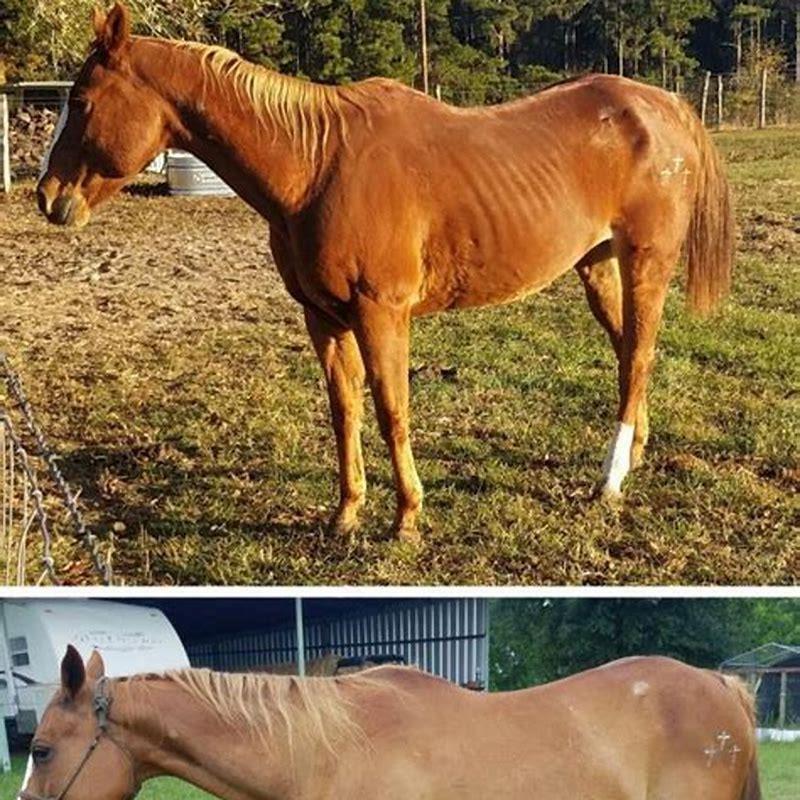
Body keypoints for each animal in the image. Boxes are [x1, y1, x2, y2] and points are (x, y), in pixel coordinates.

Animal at [37, 3, 734, 541]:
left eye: (82, 101)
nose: (47, 198)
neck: (316, 167)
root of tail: (663, 105)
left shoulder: (382, 313)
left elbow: (392, 409)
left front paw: (406, 519)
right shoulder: (323, 318)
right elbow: (344, 410)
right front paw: (346, 514)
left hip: (647, 262)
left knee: (637, 355)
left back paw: (609, 482)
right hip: (598, 266)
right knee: (629, 353)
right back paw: (634, 455)